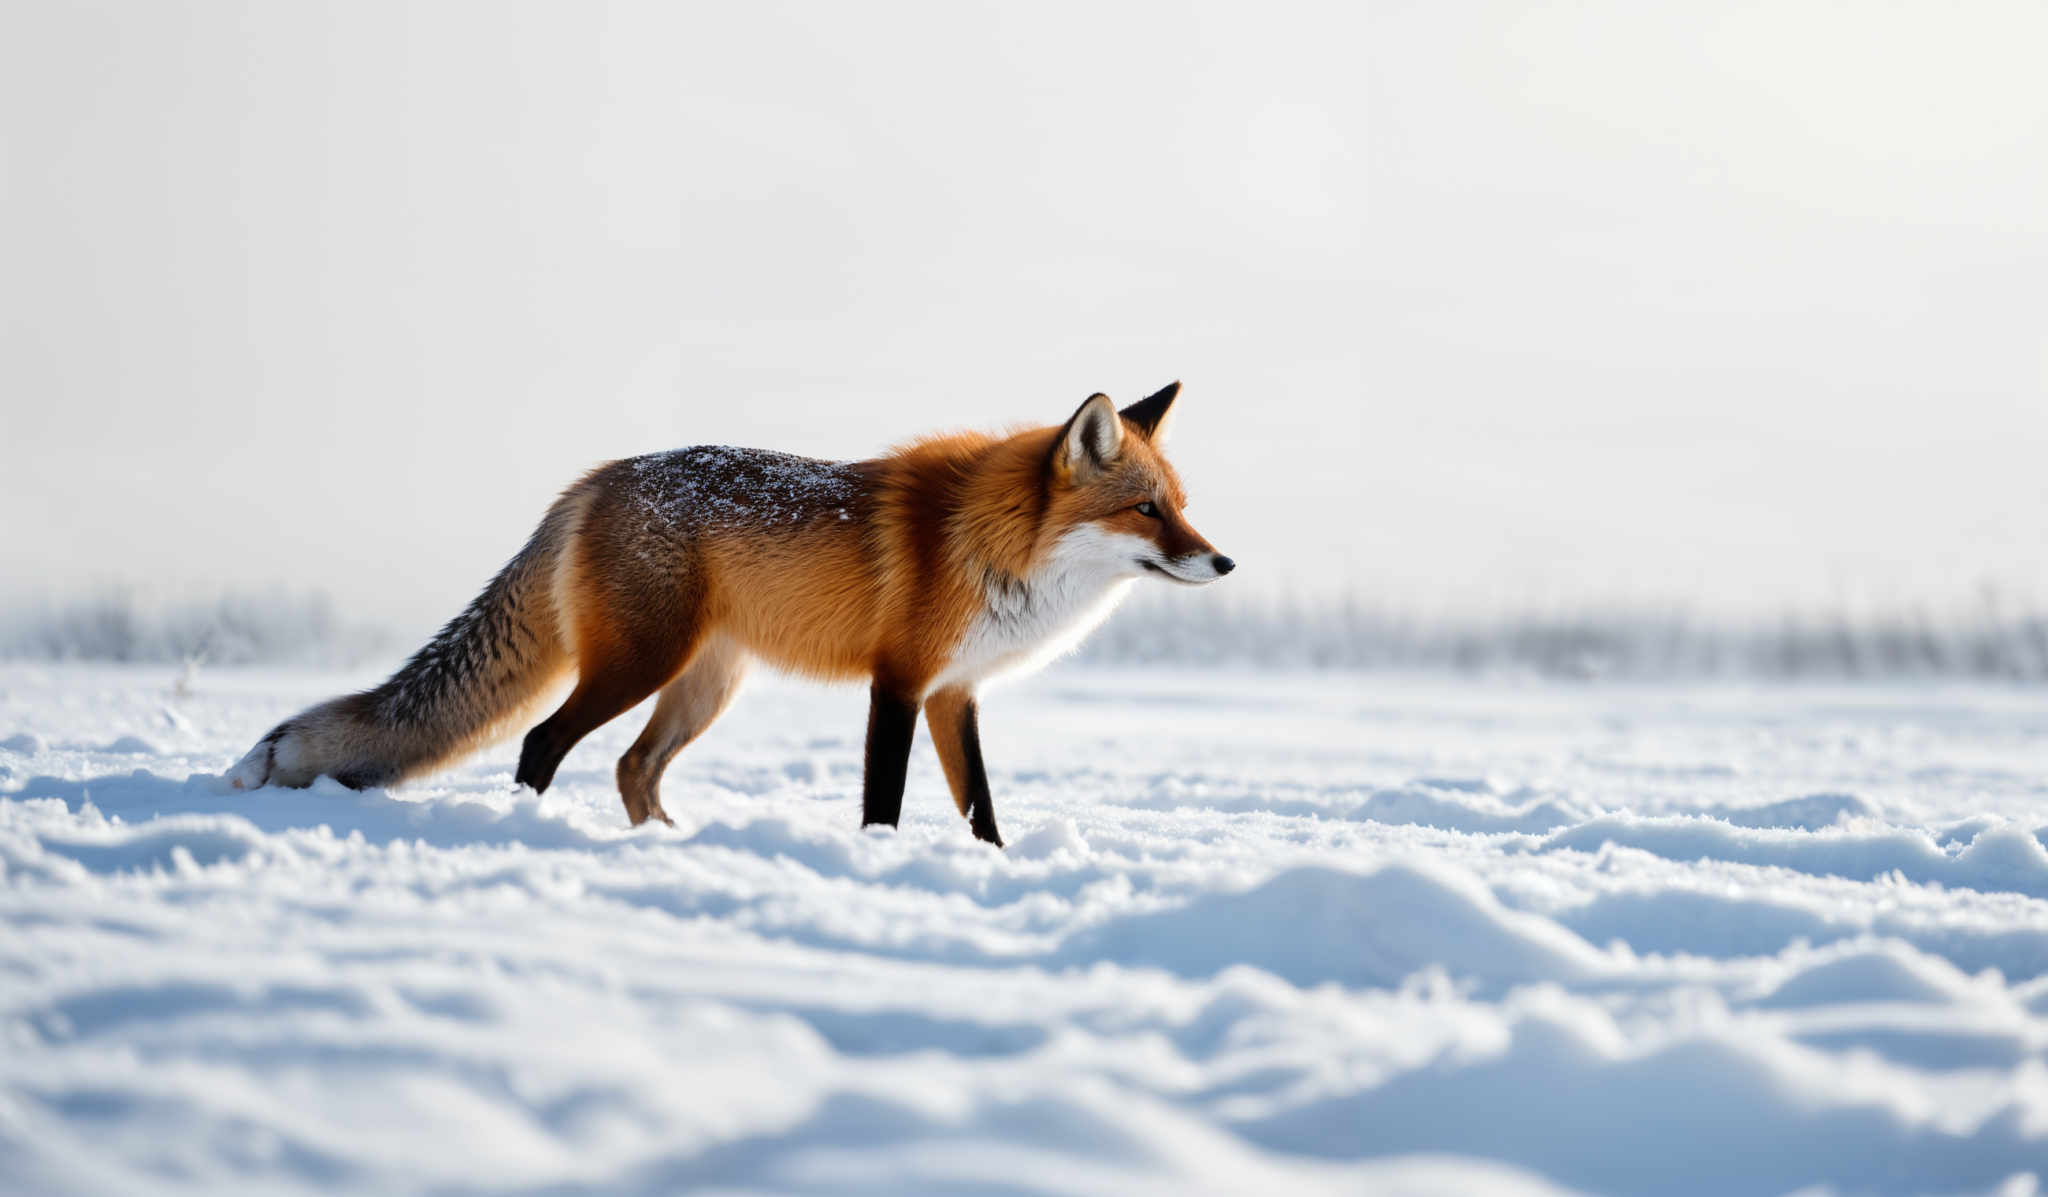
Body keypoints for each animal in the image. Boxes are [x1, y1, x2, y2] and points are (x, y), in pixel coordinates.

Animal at [220, 383, 1228, 840]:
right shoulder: (899, 683)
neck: (994, 548)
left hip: (704, 686)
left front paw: (994, 866)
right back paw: (532, 832)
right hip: (640, 666)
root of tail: (590, 481)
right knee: (545, 742)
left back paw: (665, 846)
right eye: (1147, 510)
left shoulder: (956, 694)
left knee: (633, 767)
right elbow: (886, 801)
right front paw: (879, 863)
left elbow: (979, 806)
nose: (1223, 560)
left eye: (1180, 505)